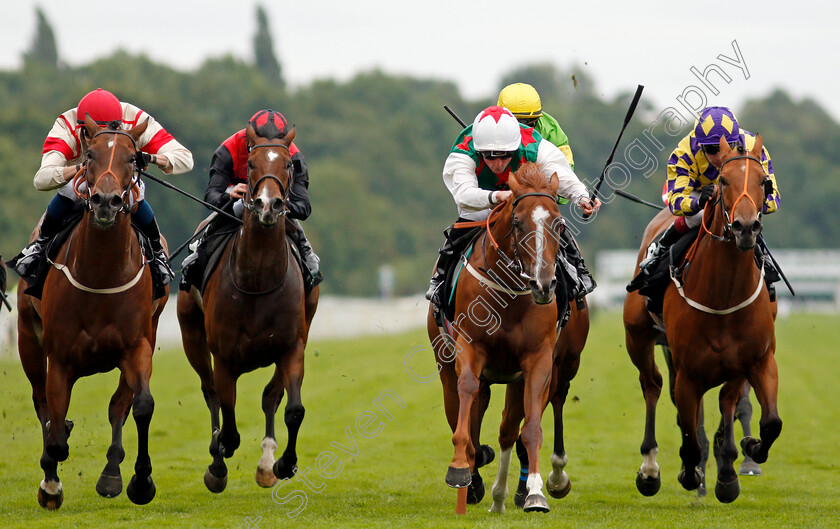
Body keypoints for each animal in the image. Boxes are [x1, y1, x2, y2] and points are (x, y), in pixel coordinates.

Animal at [16, 115, 166, 508]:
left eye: (132, 158)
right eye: (90, 155)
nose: (106, 201)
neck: (101, 273)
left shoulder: (138, 346)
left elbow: (140, 405)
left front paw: (139, 481)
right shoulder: (60, 358)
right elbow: (54, 428)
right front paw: (51, 483)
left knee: (118, 405)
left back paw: (112, 472)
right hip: (26, 338)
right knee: (41, 403)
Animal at [176, 122, 318, 490]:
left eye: (289, 164)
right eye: (251, 163)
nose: (269, 205)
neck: (257, 280)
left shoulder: (292, 346)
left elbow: (292, 408)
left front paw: (284, 463)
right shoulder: (224, 356)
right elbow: (227, 418)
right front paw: (219, 458)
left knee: (270, 396)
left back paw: (267, 462)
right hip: (191, 334)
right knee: (210, 393)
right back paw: (217, 463)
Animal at [426, 162, 564, 512]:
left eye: (558, 223)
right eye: (517, 222)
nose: (543, 284)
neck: (510, 296)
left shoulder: (539, 360)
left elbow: (530, 429)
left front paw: (536, 493)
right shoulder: (470, 349)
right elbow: (467, 399)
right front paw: (460, 469)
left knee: (506, 430)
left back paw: (500, 497)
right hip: (446, 363)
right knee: (462, 411)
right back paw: (475, 481)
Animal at [624, 134, 780, 502]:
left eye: (764, 182)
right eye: (723, 181)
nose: (746, 227)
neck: (722, 295)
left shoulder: (756, 361)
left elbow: (766, 422)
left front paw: (741, 457)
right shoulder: (689, 374)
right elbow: (691, 436)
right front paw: (691, 473)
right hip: (638, 338)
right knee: (652, 386)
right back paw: (650, 469)